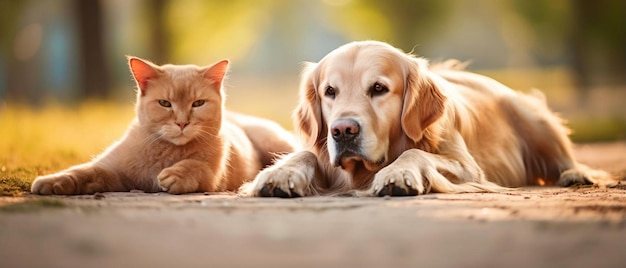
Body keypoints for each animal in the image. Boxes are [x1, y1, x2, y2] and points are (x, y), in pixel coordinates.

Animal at [33, 57, 296, 195]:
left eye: (198, 103)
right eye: (164, 103)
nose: (181, 122)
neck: (166, 151)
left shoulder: (211, 177)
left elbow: (195, 165)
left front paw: (175, 174)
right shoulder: (114, 172)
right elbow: (84, 172)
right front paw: (53, 181)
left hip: (276, 143)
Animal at [238, 40, 608, 198]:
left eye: (378, 88)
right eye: (330, 91)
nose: (343, 130)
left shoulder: (468, 168)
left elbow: (416, 152)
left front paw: (397, 174)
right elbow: (304, 154)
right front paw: (280, 174)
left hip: (533, 117)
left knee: (565, 156)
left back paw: (577, 174)